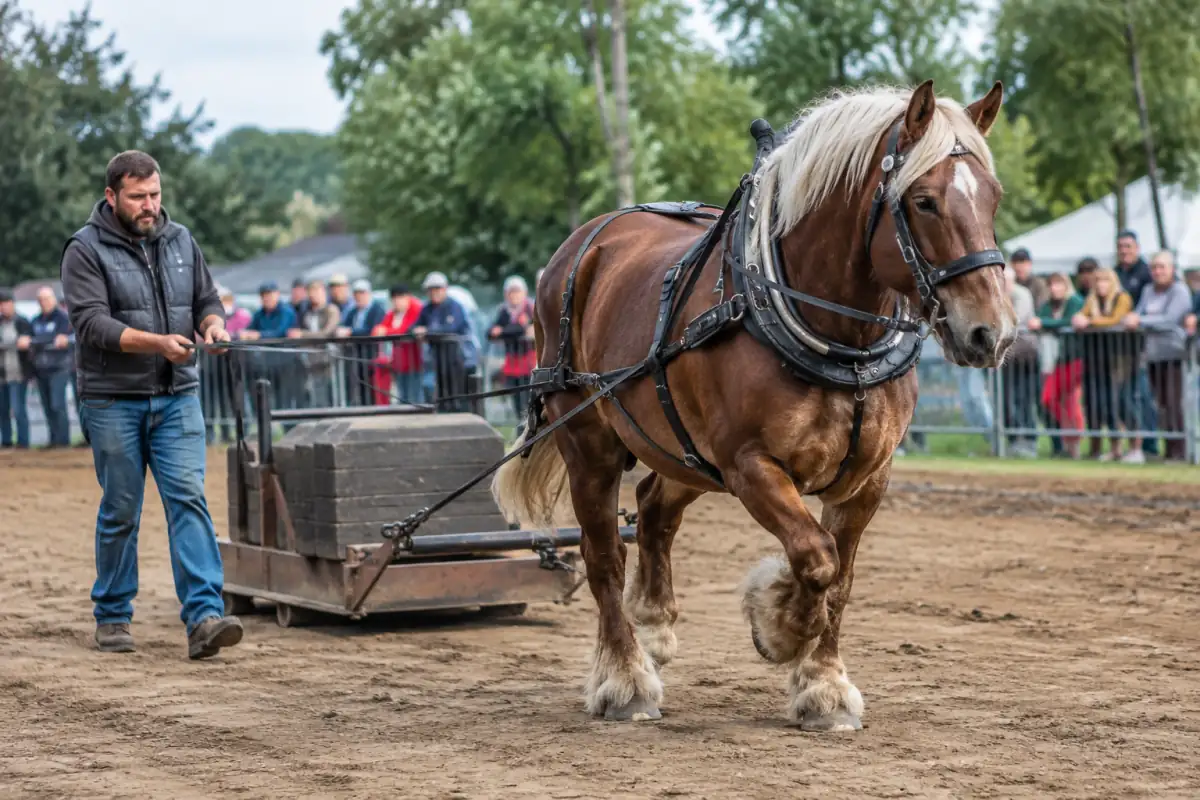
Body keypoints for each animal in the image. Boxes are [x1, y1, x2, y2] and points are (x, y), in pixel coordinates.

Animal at [492, 79, 1014, 732]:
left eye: (992, 197)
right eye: (924, 201)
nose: (992, 333)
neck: (839, 341)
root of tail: (580, 248)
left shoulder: (868, 478)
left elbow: (841, 578)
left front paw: (824, 686)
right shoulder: (750, 465)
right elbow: (815, 558)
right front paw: (780, 625)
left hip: (684, 451)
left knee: (655, 509)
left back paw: (654, 623)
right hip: (590, 441)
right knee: (603, 554)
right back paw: (626, 678)